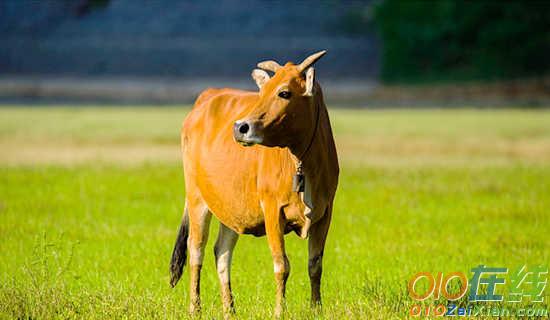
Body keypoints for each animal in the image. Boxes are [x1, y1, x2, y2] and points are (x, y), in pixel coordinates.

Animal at [169, 50, 340, 318]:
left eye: (284, 92)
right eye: (262, 92)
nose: (240, 127)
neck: (303, 163)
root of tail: (206, 97)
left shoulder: (325, 213)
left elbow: (315, 265)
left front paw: (316, 309)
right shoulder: (272, 211)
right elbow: (281, 265)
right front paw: (280, 311)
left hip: (229, 206)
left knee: (221, 253)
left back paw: (230, 309)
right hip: (197, 199)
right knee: (196, 250)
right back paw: (195, 308)